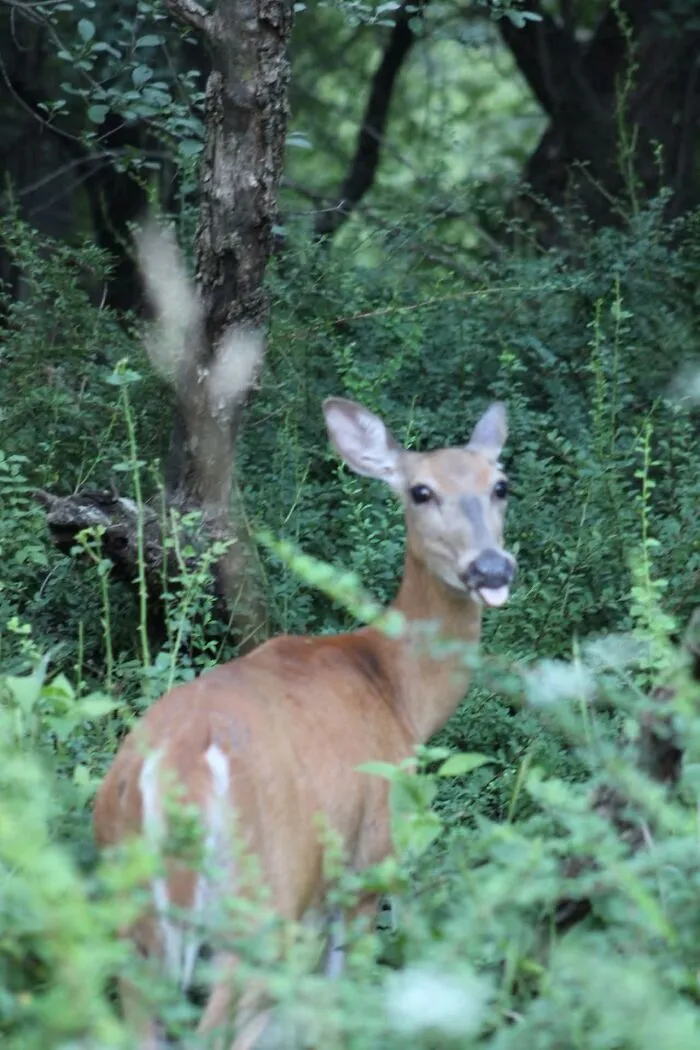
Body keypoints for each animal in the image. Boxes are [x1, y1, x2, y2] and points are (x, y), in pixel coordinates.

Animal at [93, 392, 516, 1049]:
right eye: (420, 491)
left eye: (500, 485)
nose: (492, 569)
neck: (397, 689)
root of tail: (178, 770)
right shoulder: (370, 860)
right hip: (265, 898)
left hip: (135, 914)